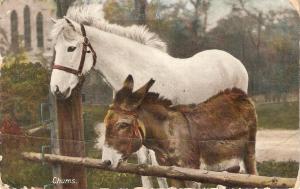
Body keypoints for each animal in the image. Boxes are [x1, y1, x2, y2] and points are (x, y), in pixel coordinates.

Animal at [50, 5, 248, 188]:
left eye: (71, 48)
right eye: (55, 48)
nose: (56, 89)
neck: (140, 74)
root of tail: (235, 62)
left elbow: (161, 170)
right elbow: (145, 169)